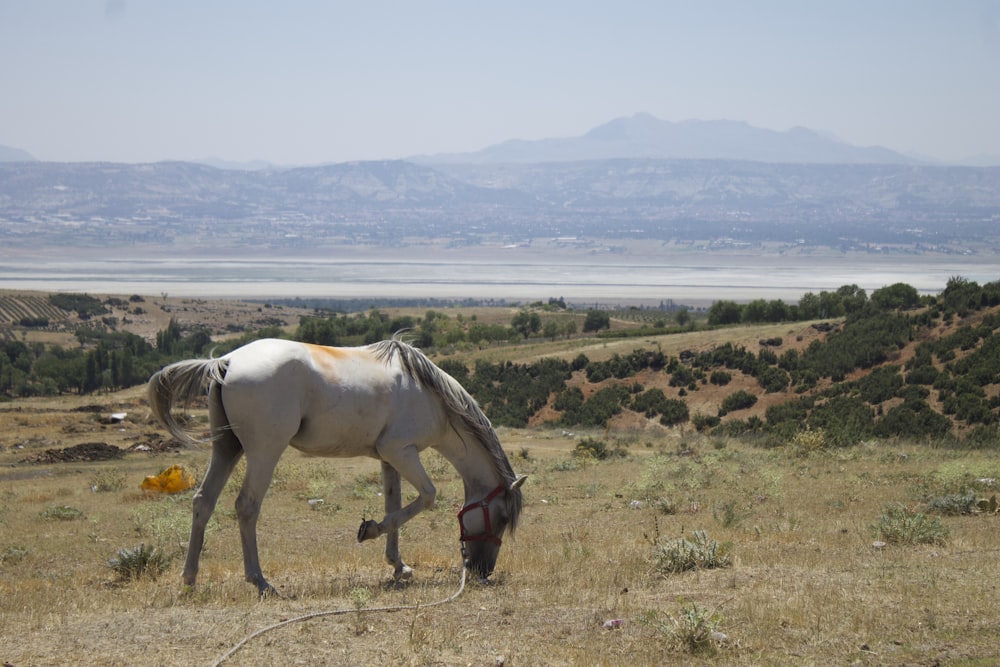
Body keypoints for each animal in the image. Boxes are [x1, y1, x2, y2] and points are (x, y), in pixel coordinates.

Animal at [148, 340, 528, 596]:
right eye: (502, 518)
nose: (482, 571)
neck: (432, 397)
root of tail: (226, 361)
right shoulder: (401, 452)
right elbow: (427, 497)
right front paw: (368, 531)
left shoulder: (389, 458)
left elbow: (395, 507)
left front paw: (398, 565)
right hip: (263, 452)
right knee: (246, 507)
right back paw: (260, 581)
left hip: (227, 449)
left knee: (203, 501)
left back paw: (190, 578)